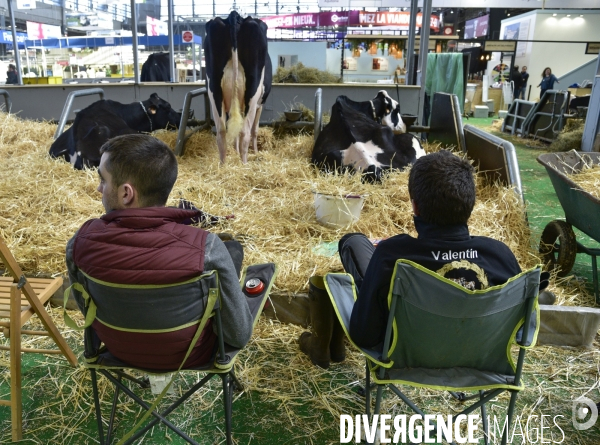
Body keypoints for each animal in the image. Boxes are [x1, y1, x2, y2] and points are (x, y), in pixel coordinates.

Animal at [205, 10, 274, 163]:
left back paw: (223, 165)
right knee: (245, 132)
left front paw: (235, 152)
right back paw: (244, 164)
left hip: (214, 90)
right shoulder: (260, 104)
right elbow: (255, 130)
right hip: (253, 92)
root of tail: (234, 15)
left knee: (221, 132)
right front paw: (255, 152)